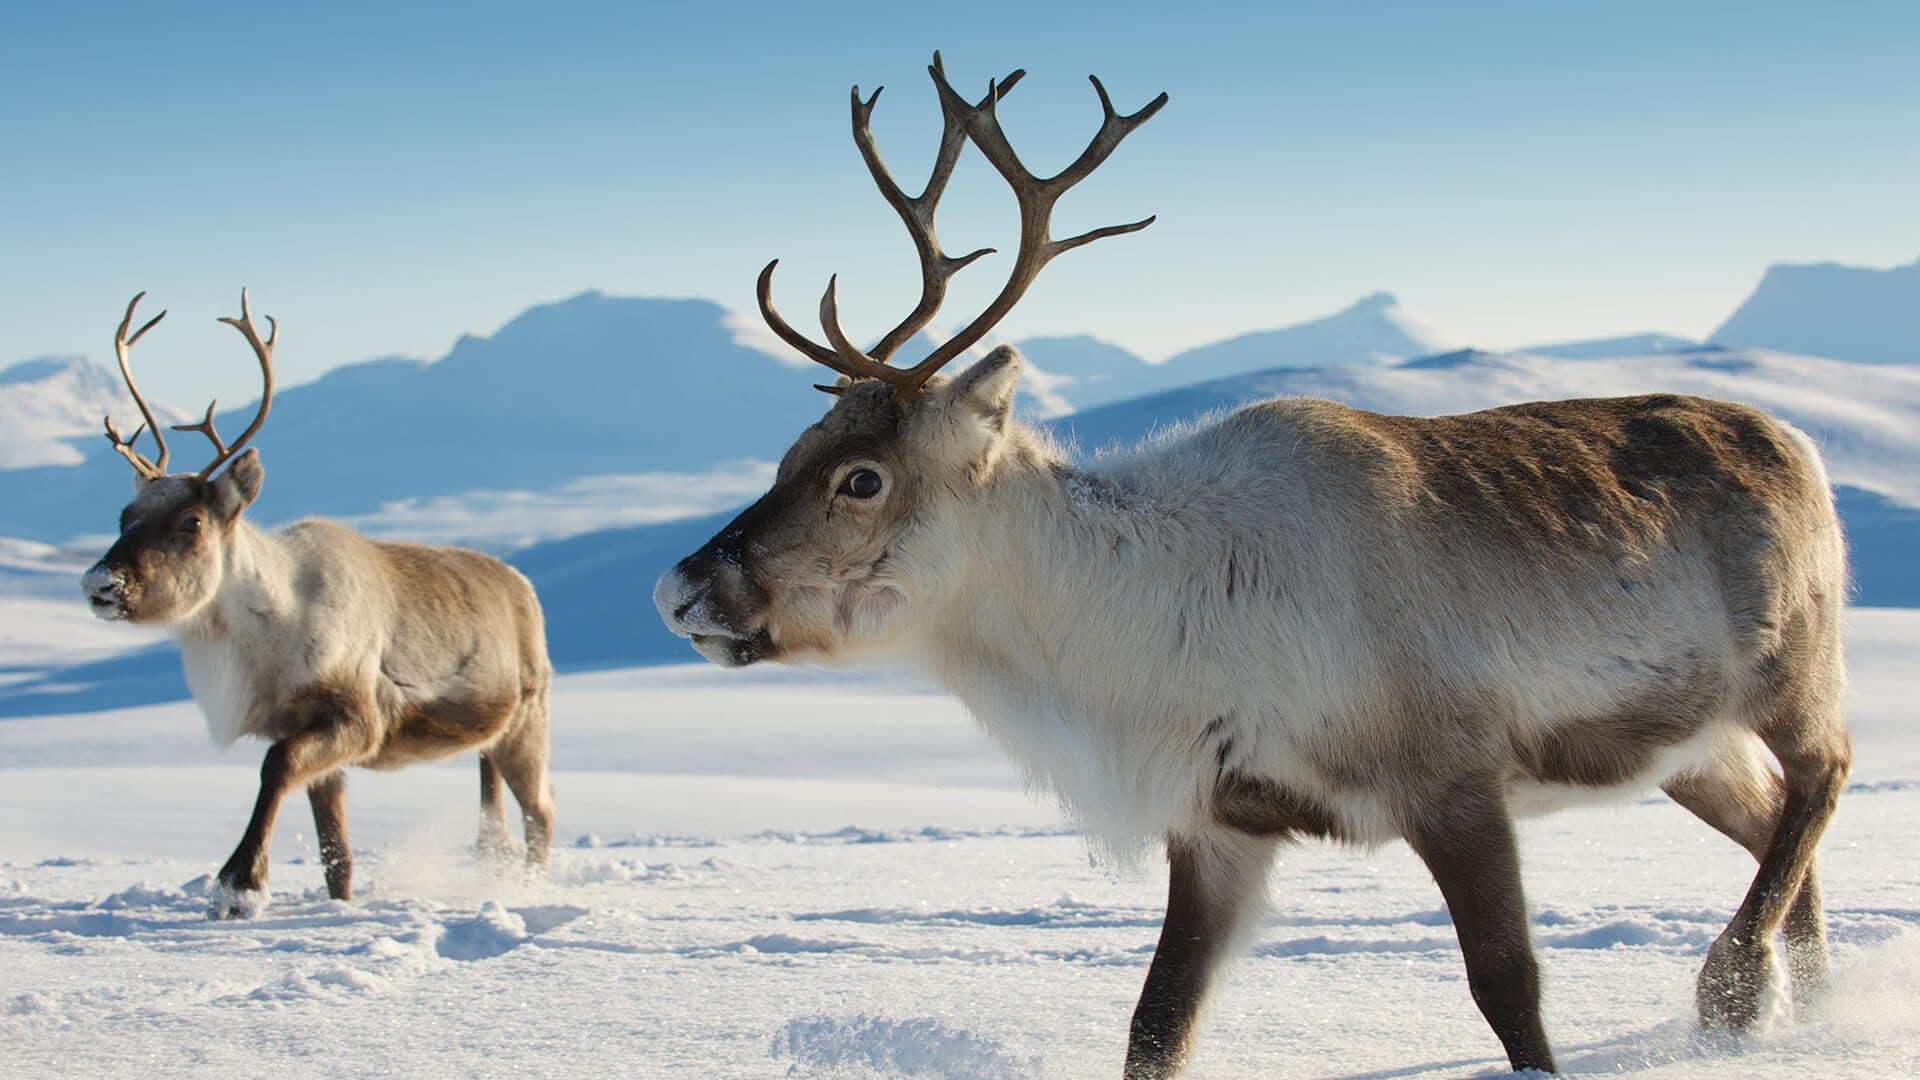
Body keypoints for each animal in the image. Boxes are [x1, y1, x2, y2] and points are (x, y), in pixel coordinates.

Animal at [81, 290, 556, 920]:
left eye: (192, 521)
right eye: (124, 516)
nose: (100, 583)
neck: (269, 634)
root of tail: (523, 586)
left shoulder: (356, 718)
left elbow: (275, 766)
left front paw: (239, 886)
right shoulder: (307, 731)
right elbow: (337, 852)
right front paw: (334, 904)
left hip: (528, 720)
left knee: (542, 811)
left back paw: (528, 891)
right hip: (492, 738)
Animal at [654, 54, 1852, 1077]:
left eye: (861, 479)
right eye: (789, 453)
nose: (678, 588)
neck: (1142, 630)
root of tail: (1797, 440)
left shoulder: (1452, 777)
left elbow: (1509, 990)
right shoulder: (1221, 822)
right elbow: (1156, 1023)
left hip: (1790, 667)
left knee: (1822, 775)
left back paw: (1736, 989)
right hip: (1685, 746)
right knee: (1771, 825)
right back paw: (1807, 1006)